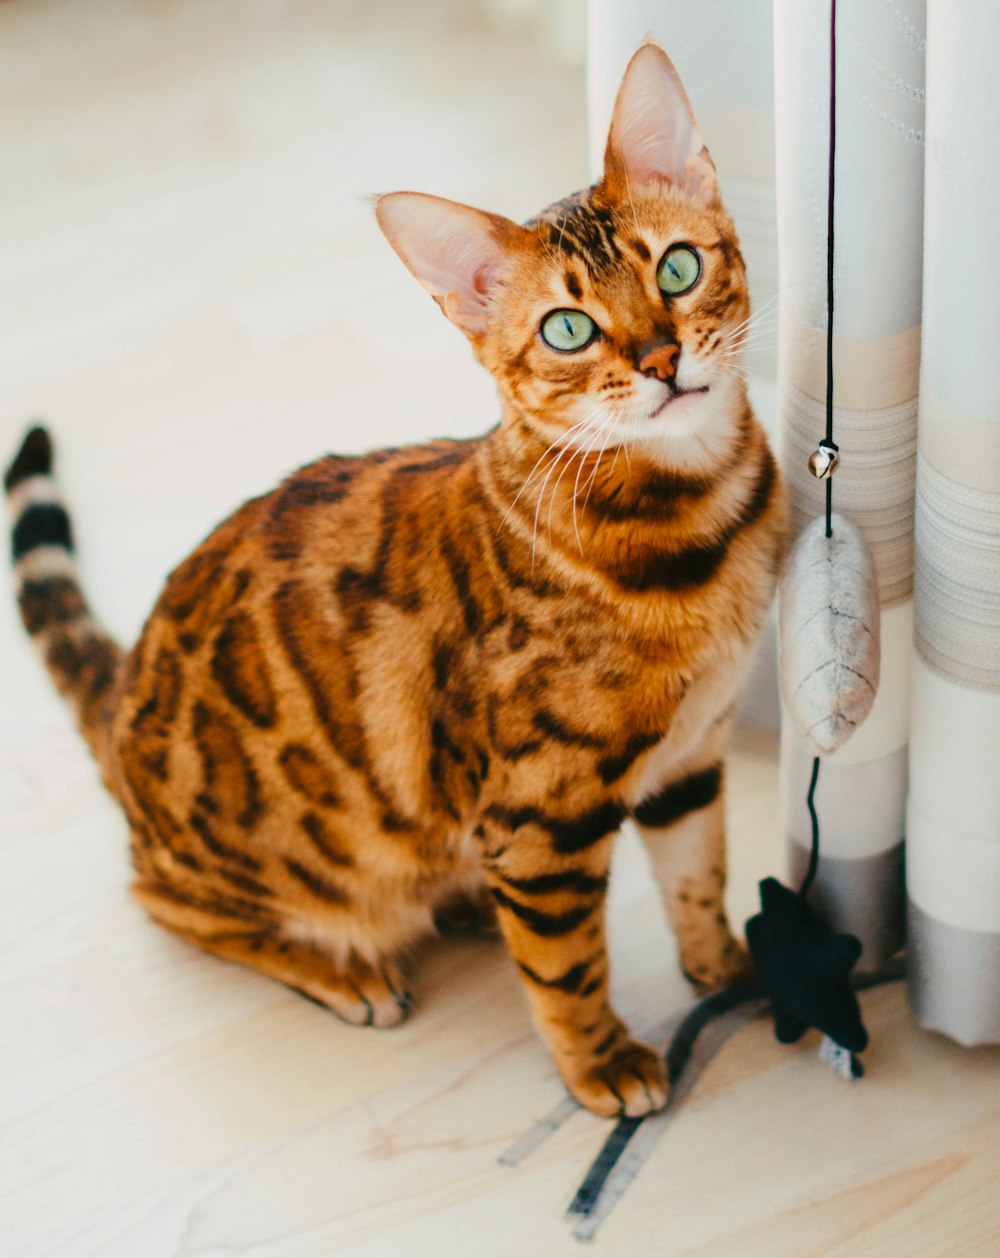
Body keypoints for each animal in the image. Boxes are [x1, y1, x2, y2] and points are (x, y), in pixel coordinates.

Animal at [5, 44, 789, 1117]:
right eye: (569, 329)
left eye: (678, 266)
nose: (662, 358)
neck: (701, 531)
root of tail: (126, 692)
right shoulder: (544, 815)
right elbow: (566, 967)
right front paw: (601, 1063)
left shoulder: (688, 756)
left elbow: (698, 876)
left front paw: (723, 970)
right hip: (286, 860)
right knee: (164, 898)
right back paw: (348, 971)